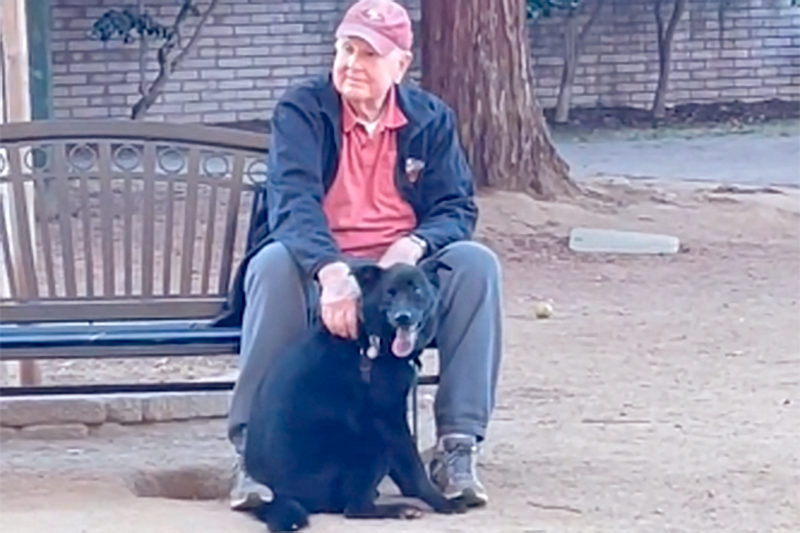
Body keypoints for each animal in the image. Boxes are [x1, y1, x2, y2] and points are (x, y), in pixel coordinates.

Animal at [242, 258, 462, 528]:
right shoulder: (388, 419)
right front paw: (442, 503)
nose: (403, 317)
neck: (371, 339)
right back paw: (399, 509)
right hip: (372, 442)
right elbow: (413, 467)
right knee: (355, 508)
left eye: (417, 291)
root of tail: (282, 495)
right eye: (390, 293)